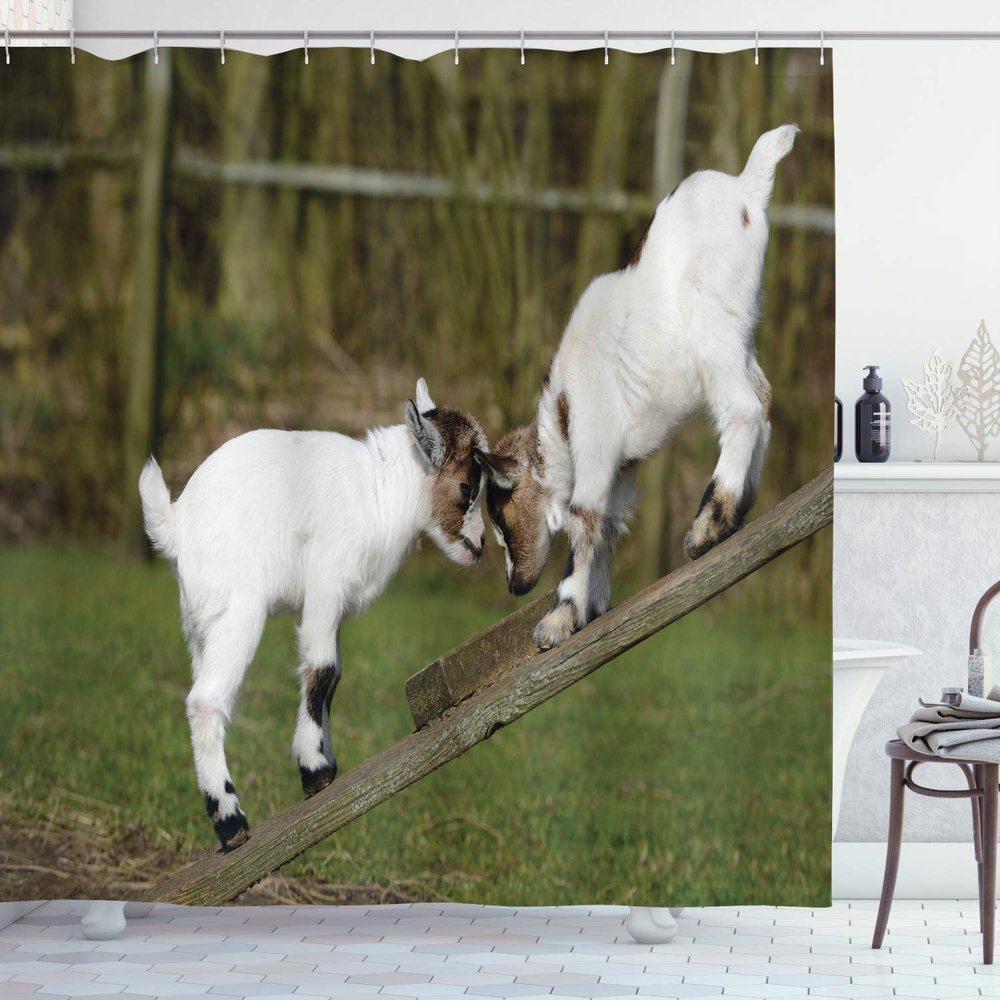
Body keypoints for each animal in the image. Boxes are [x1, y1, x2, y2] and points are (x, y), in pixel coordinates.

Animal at [139, 379, 487, 849]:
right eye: (467, 487)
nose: (481, 546)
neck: (375, 491)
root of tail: (175, 524)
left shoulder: (332, 605)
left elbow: (332, 675)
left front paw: (326, 763)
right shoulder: (326, 583)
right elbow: (320, 668)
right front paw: (314, 771)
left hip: (199, 623)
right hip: (238, 612)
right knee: (206, 700)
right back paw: (231, 822)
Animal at [474, 125, 798, 651]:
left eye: (501, 519)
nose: (514, 584)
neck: (562, 415)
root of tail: (747, 186)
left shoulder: (595, 443)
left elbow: (584, 519)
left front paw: (558, 619)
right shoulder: (622, 470)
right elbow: (607, 525)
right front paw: (591, 609)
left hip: (709, 322)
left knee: (744, 408)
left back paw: (708, 525)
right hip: (740, 331)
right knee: (764, 399)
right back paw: (735, 514)